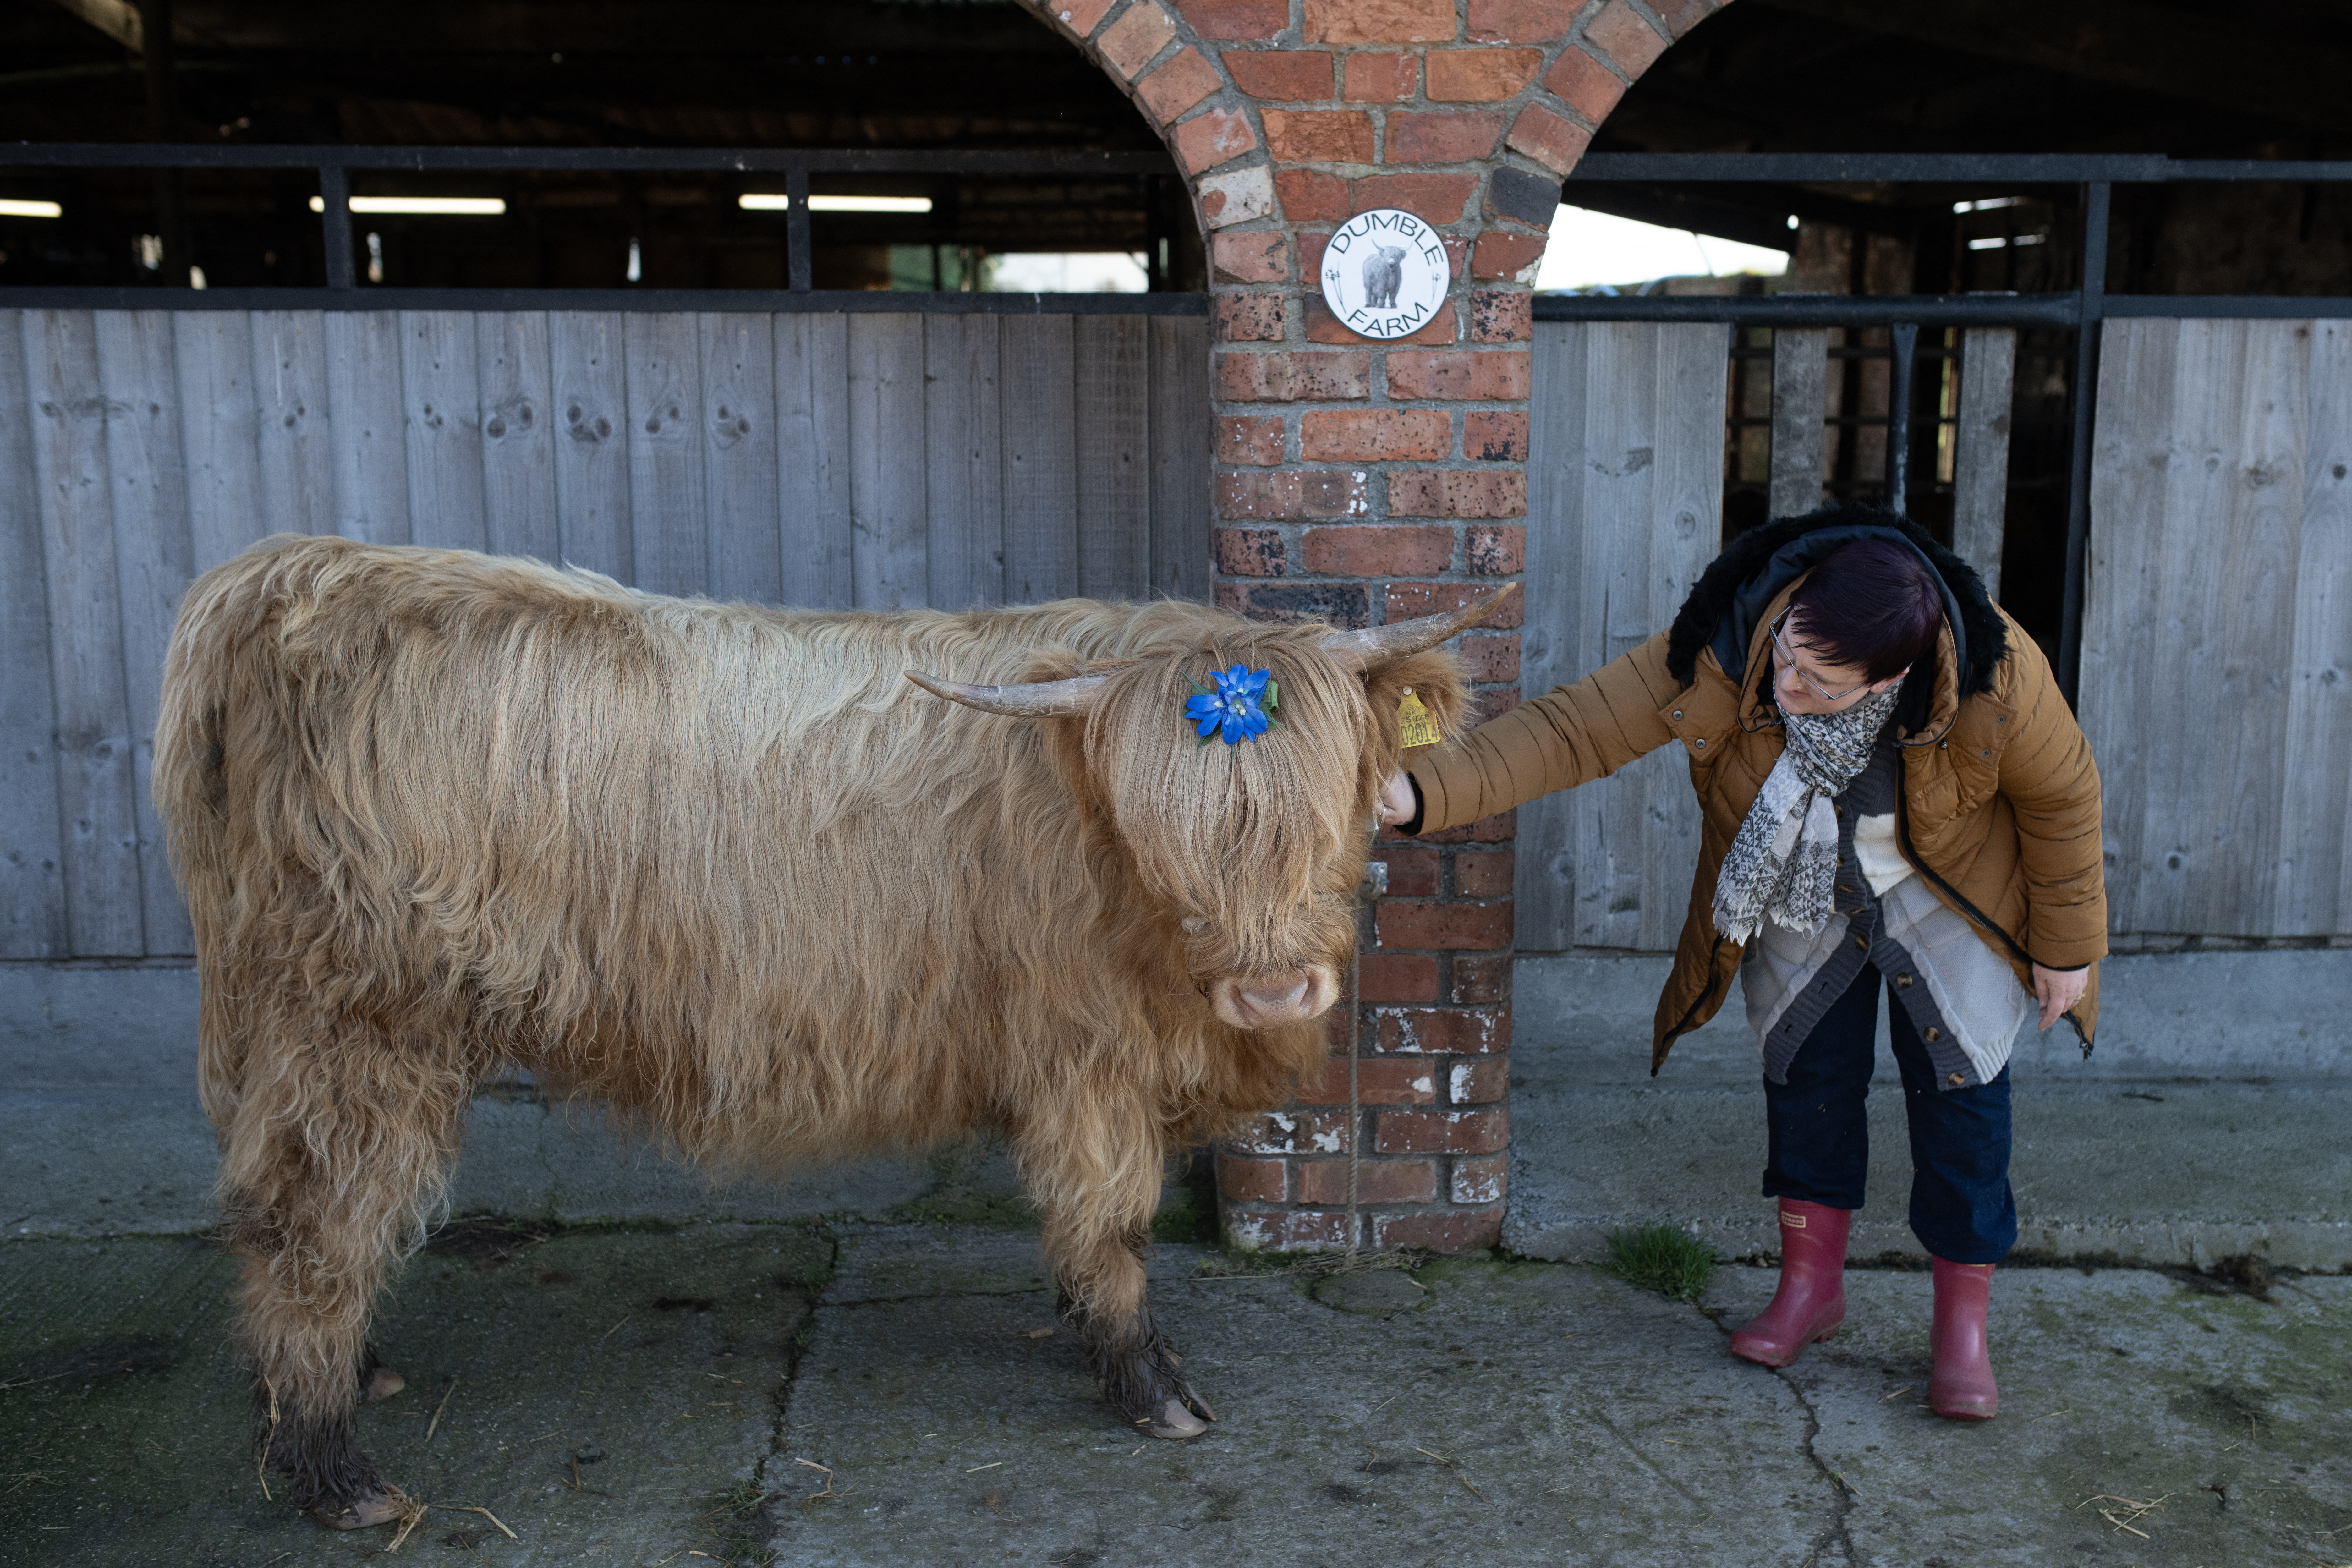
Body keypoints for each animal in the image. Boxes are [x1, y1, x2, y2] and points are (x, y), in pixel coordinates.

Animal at [152, 534, 1509, 1530]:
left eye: (1330, 805)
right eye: (1169, 833)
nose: (1275, 992)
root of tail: (295, 573)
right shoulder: (1086, 1056)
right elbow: (1113, 1222)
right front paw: (1148, 1385)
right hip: (360, 1026)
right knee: (314, 1221)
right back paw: (334, 1465)